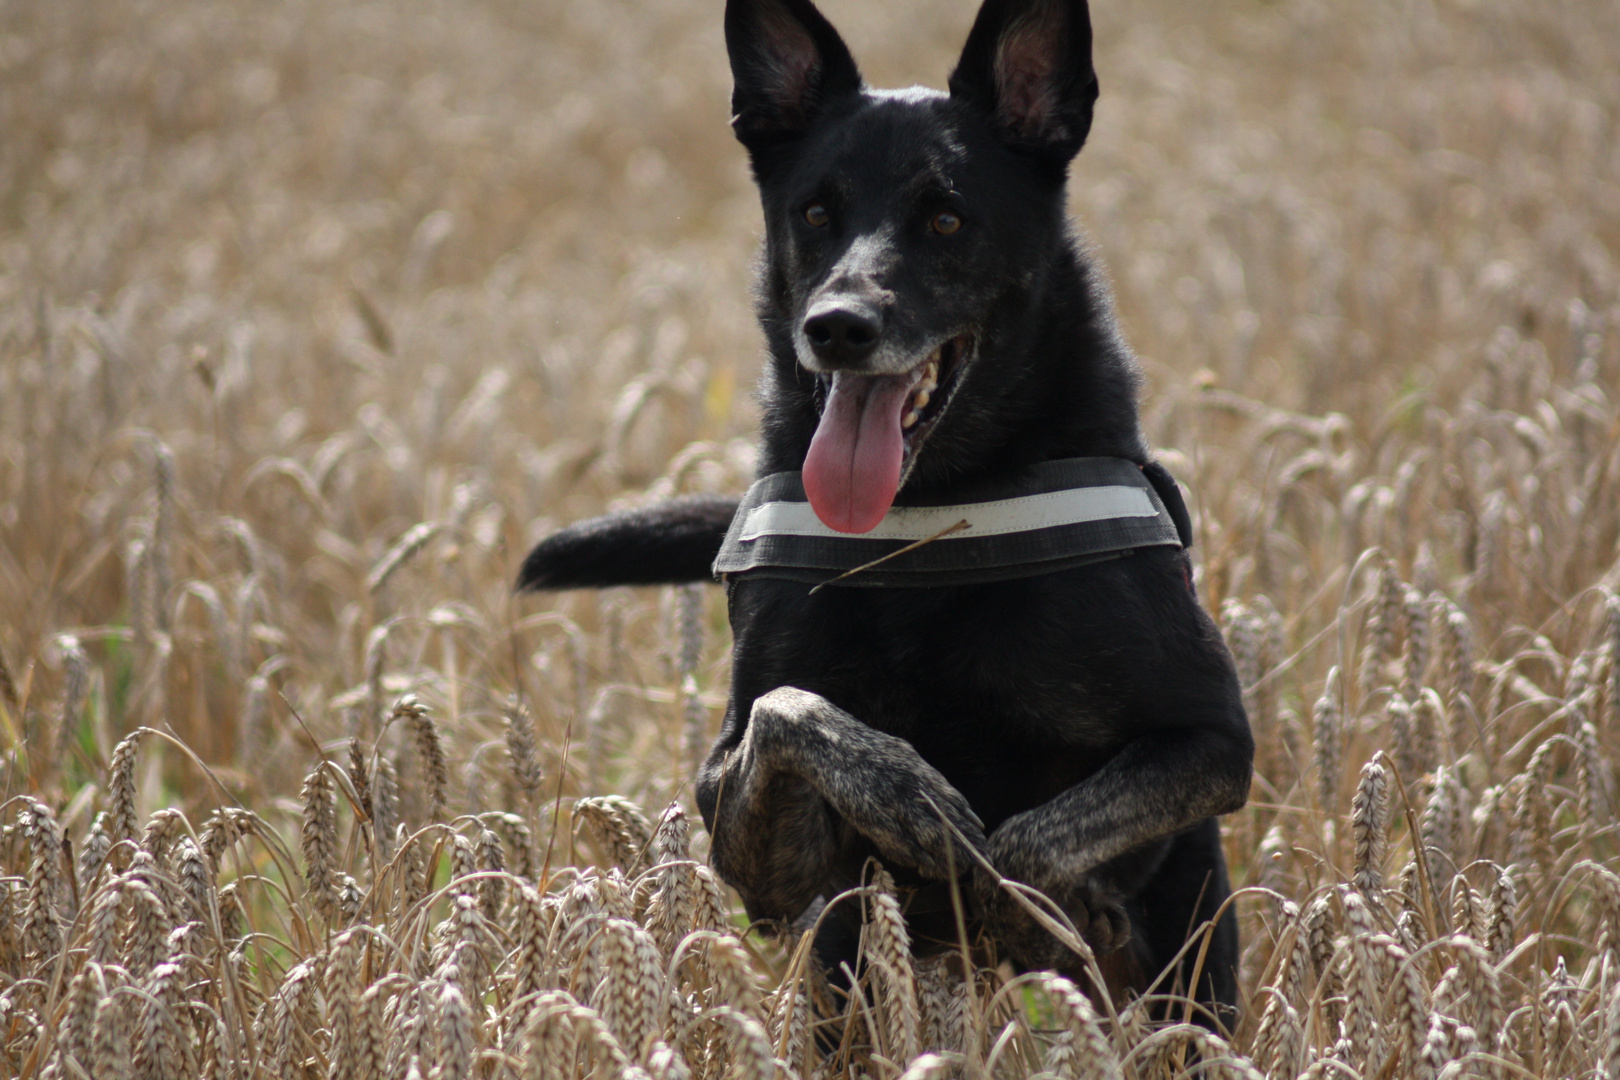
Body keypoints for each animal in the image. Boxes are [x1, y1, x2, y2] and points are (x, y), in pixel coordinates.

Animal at [518, 0, 1250, 1029]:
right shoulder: (754, 850)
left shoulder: (1213, 738)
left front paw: (1034, 908)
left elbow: (1033, 843)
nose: (837, 327)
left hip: (1200, 967)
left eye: (946, 217)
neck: (929, 514)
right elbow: (792, 715)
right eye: (815, 213)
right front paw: (913, 799)